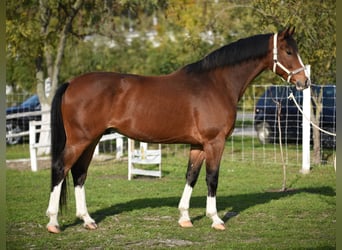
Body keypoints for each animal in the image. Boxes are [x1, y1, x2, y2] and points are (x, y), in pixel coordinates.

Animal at [45, 26, 310, 233]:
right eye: (288, 51)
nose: (304, 82)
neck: (216, 83)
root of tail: (72, 83)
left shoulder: (198, 145)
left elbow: (191, 176)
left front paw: (184, 217)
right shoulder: (215, 142)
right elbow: (212, 178)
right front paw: (216, 219)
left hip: (91, 140)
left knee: (79, 173)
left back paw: (87, 220)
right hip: (80, 140)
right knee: (60, 169)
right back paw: (53, 222)